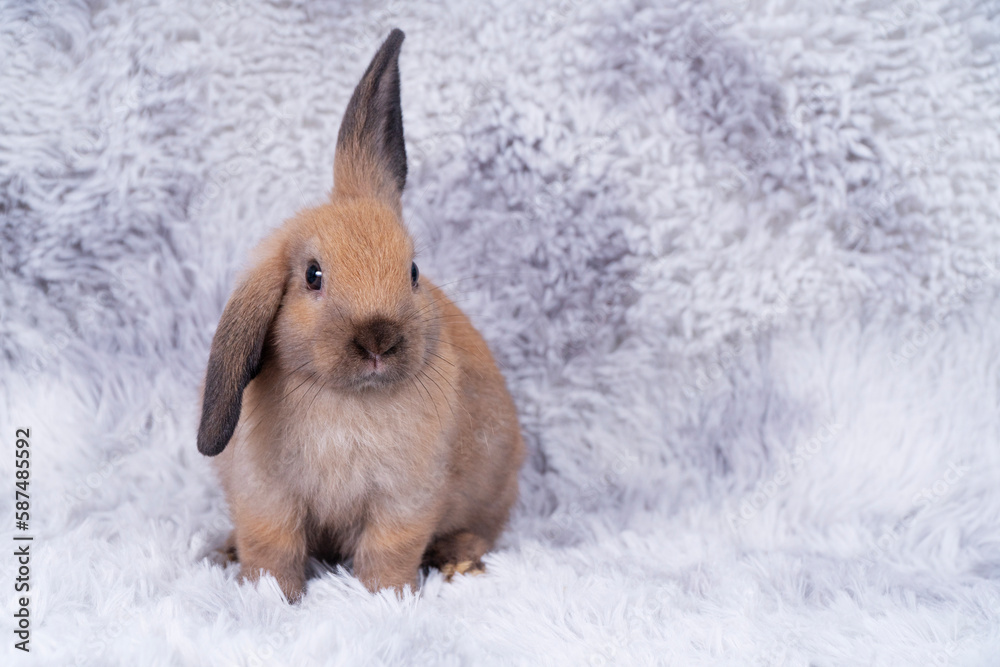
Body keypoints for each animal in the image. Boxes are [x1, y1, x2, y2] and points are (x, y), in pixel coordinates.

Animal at [193, 28, 524, 604]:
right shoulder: (266, 498)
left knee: (477, 530)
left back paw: (460, 563)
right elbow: (272, 550)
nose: (378, 340)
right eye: (313, 276)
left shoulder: (405, 502)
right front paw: (268, 598)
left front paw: (384, 602)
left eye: (413, 271)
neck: (347, 403)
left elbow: (388, 555)